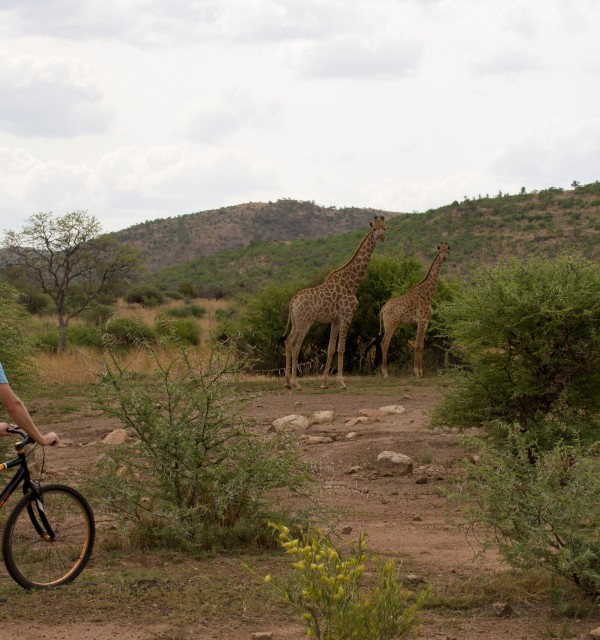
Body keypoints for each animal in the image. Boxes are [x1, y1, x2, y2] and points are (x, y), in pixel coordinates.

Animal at [283, 216, 387, 391]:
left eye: (385, 228)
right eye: (374, 229)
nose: (381, 237)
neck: (352, 282)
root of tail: (292, 301)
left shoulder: (335, 320)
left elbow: (331, 348)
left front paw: (324, 383)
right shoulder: (346, 315)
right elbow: (341, 348)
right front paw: (341, 382)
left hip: (296, 322)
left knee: (288, 342)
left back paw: (287, 382)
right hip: (306, 321)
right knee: (296, 345)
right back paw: (296, 384)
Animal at [379, 242, 451, 378]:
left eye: (448, 251)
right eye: (440, 251)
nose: (444, 258)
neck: (428, 294)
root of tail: (383, 308)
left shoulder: (426, 321)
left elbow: (421, 346)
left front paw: (421, 372)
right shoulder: (421, 320)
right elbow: (417, 345)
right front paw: (416, 372)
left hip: (388, 323)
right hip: (391, 323)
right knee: (385, 343)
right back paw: (385, 373)